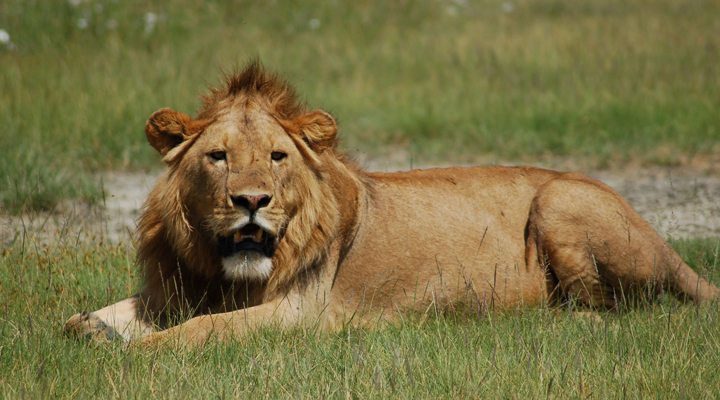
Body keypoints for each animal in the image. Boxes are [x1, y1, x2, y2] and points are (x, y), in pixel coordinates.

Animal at [64, 62, 716, 346]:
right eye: (218, 157)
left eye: (277, 156)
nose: (252, 201)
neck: (223, 269)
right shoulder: (170, 291)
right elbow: (83, 320)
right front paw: (94, 331)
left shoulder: (300, 312)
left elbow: (200, 330)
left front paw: (139, 351)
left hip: (562, 199)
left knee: (613, 309)